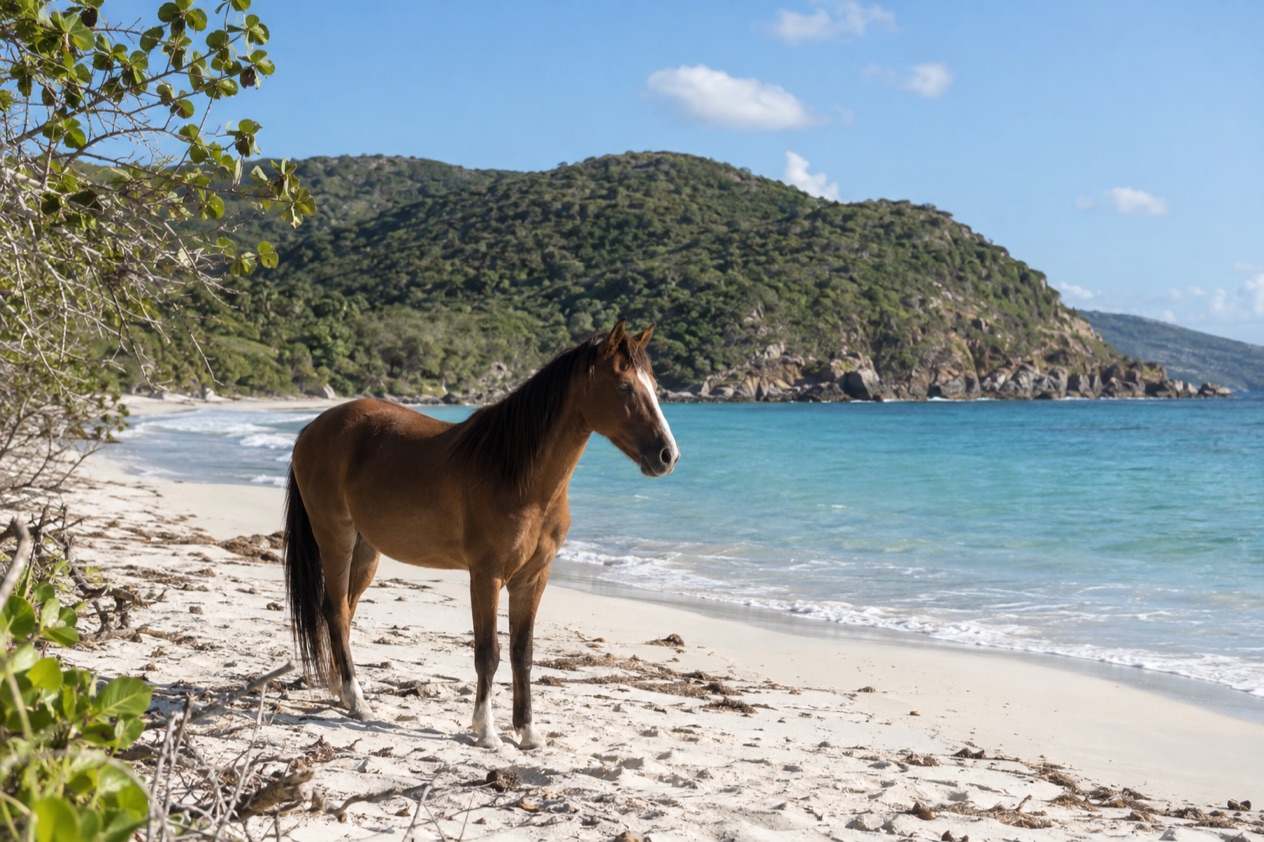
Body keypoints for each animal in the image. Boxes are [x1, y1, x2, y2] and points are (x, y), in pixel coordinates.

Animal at [282, 321, 679, 750]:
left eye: (654, 385)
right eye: (624, 386)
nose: (667, 455)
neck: (518, 474)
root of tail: (312, 429)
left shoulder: (532, 579)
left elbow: (523, 653)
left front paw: (528, 731)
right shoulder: (486, 575)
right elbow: (488, 652)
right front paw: (486, 731)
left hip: (366, 550)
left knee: (344, 611)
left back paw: (343, 692)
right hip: (335, 538)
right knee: (336, 611)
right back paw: (358, 701)